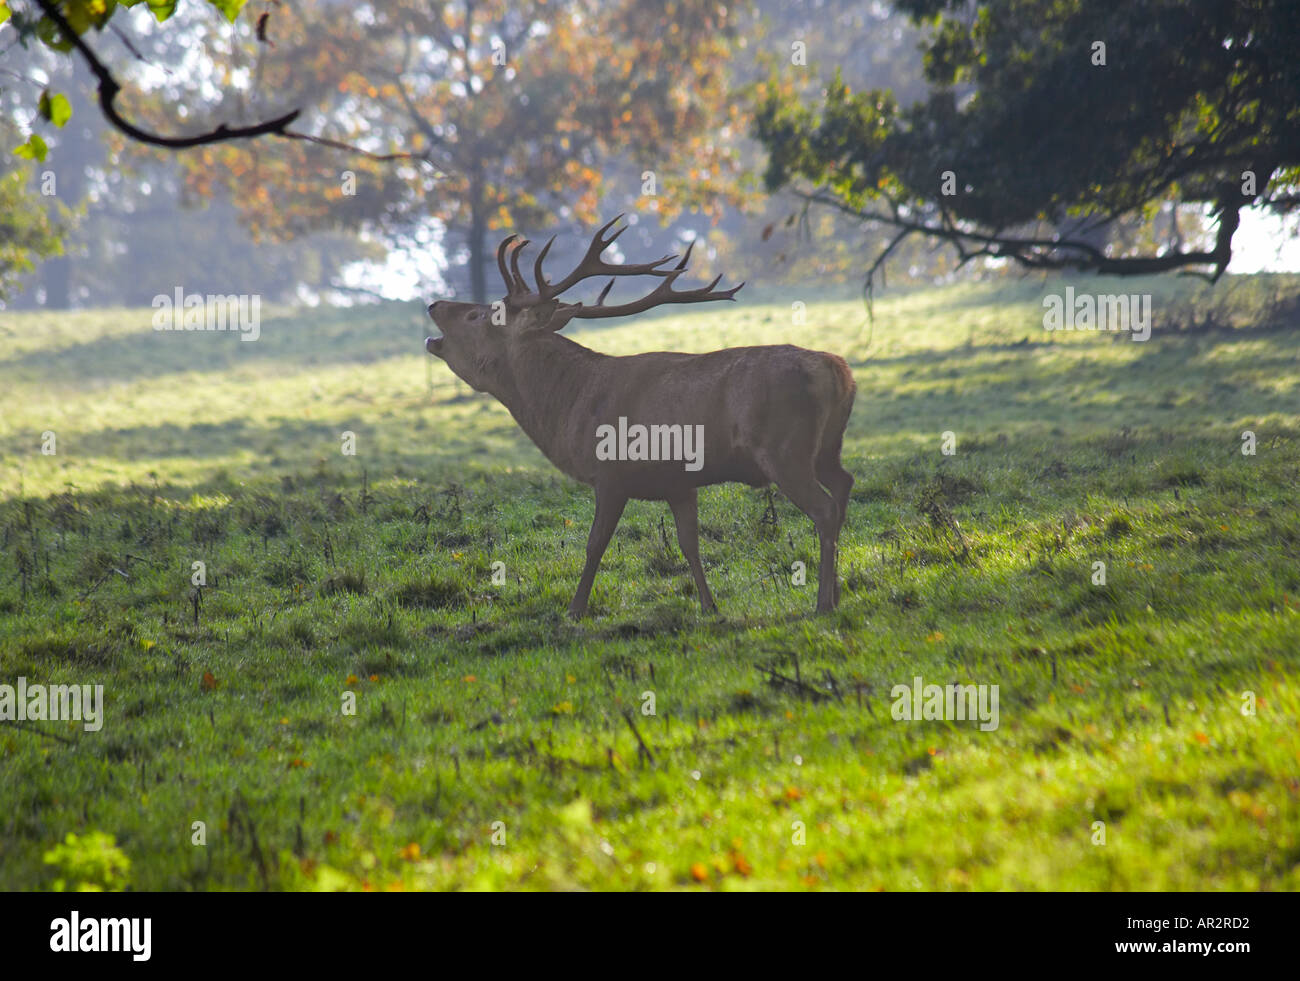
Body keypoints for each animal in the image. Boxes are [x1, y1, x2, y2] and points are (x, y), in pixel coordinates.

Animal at [425, 216, 856, 618]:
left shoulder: (611, 472)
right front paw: (709, 605)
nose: (434, 304)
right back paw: (836, 591)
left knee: (824, 508)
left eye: (480, 316)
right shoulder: (679, 482)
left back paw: (823, 602)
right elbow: (689, 544)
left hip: (785, 449)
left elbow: (595, 544)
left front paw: (574, 610)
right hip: (826, 448)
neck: (569, 406)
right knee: (844, 483)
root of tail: (838, 370)